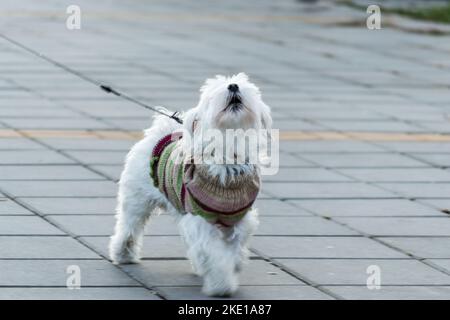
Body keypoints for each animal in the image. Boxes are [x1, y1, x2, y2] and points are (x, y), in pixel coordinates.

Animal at [110, 73, 270, 298]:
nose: (233, 86)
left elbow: (234, 248)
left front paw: (234, 265)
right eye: (212, 95)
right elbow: (215, 254)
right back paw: (122, 253)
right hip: (137, 198)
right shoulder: (201, 220)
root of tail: (162, 132)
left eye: (244, 85)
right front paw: (221, 285)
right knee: (129, 226)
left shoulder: (239, 219)